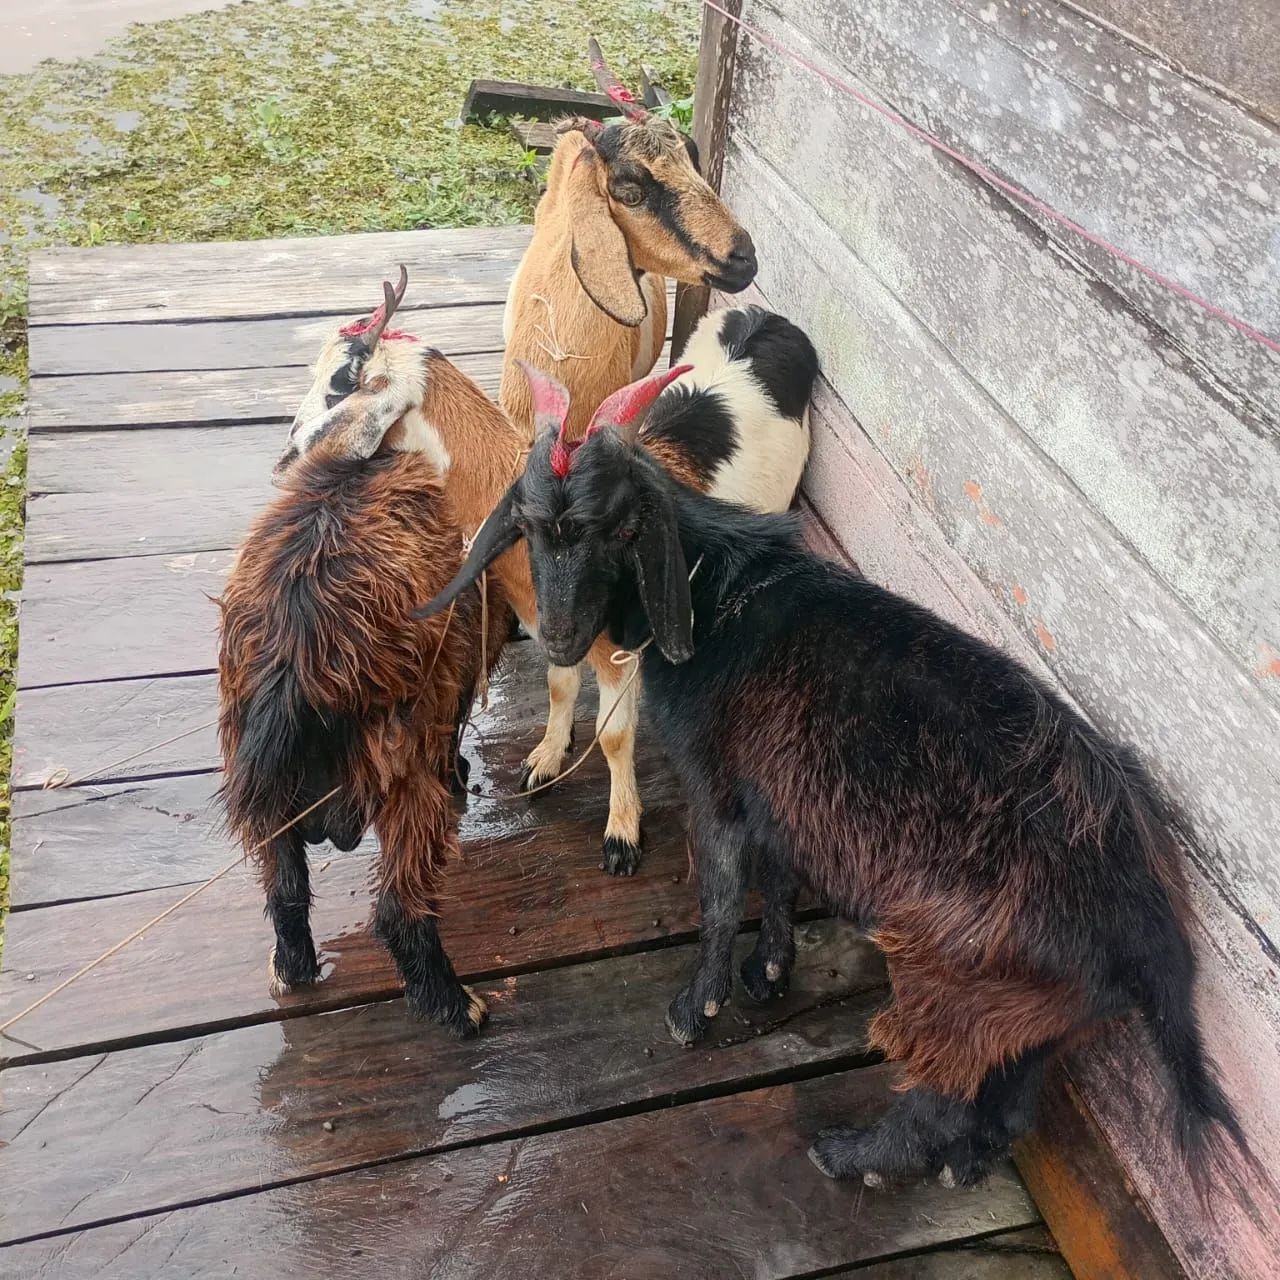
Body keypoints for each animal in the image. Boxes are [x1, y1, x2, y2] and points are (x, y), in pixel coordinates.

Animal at [220, 271, 507, 1037]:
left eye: (336, 381)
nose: (290, 452)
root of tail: (294, 658)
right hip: (400, 766)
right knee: (399, 908)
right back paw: (458, 1007)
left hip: (258, 779)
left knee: (285, 888)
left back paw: (292, 972)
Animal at [416, 362, 1248, 1189]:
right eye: (529, 526)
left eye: (623, 528)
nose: (558, 637)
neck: (715, 591)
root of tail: (1150, 923)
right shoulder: (779, 796)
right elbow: (779, 877)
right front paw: (770, 971)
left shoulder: (718, 787)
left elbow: (722, 898)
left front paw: (698, 1008)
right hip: (1033, 1014)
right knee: (1012, 1099)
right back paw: (963, 1165)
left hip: (961, 985)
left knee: (944, 1090)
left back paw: (856, 1156)